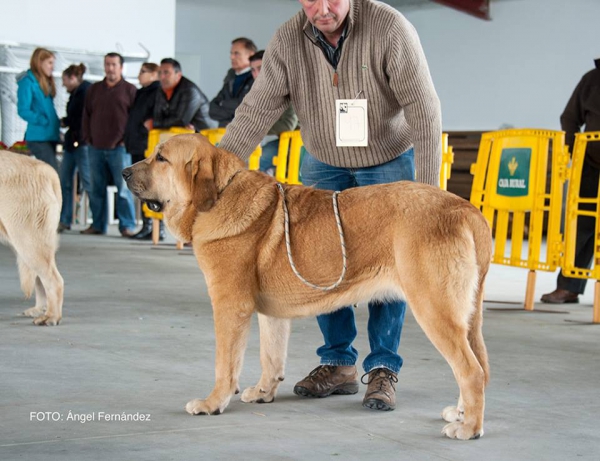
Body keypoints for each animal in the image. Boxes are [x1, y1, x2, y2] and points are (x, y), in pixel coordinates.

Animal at [122, 134, 492, 438]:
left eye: (161, 158)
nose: (124, 172)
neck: (218, 195)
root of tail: (465, 208)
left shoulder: (229, 305)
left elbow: (225, 364)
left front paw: (212, 403)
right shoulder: (271, 314)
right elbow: (271, 356)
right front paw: (264, 392)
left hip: (434, 309)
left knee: (470, 371)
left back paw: (469, 428)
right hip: (466, 318)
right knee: (478, 365)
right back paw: (461, 414)